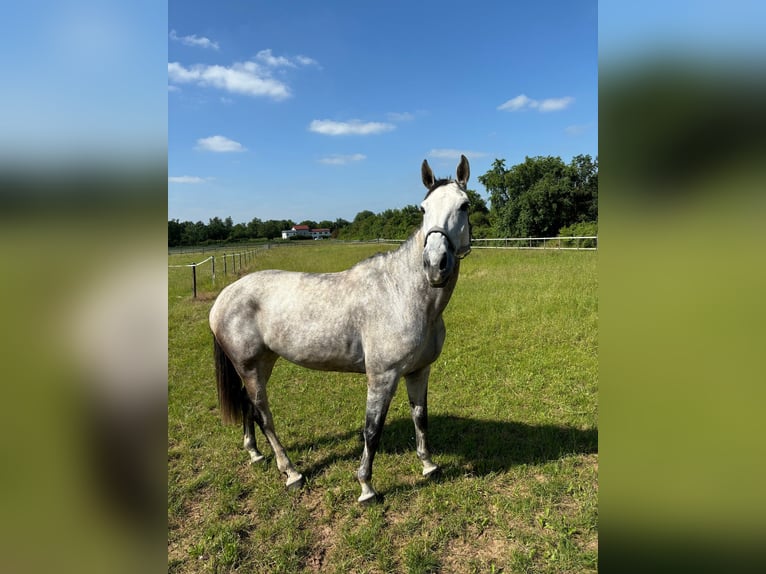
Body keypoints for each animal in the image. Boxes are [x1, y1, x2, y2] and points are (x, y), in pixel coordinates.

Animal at [209, 155, 472, 503]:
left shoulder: (418, 371)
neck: (402, 293)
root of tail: (224, 297)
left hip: (264, 362)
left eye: (465, 206)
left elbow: (421, 417)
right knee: (263, 413)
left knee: (247, 405)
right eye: (423, 209)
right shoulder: (382, 376)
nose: (435, 264)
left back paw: (255, 454)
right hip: (249, 366)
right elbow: (372, 430)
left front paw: (428, 466)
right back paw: (291, 473)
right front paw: (366, 487)